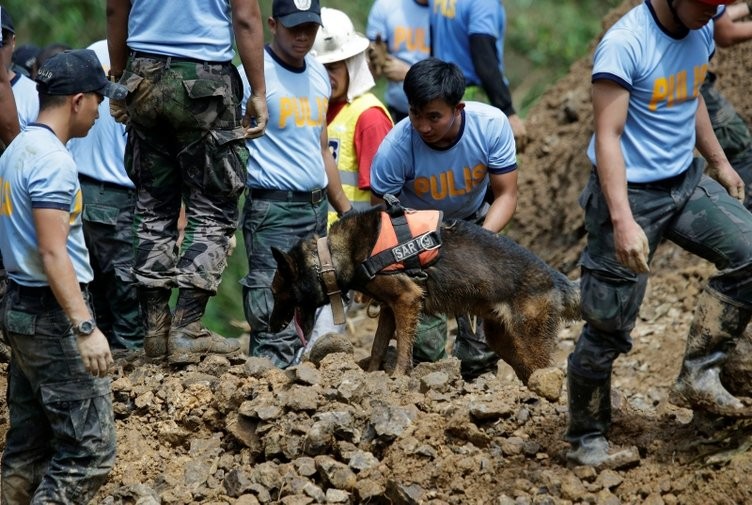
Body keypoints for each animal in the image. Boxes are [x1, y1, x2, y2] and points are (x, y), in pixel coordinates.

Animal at [270, 205, 580, 382]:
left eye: (275, 292)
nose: (271, 325)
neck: (330, 257)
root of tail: (556, 277)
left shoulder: (407, 300)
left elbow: (404, 347)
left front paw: (398, 376)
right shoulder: (388, 308)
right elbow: (378, 345)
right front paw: (370, 374)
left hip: (527, 340)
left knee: (547, 371)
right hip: (504, 341)